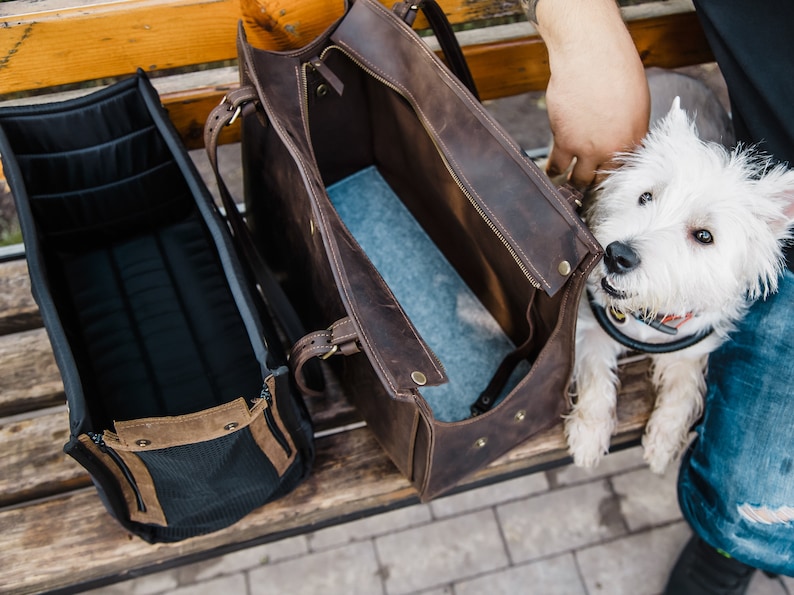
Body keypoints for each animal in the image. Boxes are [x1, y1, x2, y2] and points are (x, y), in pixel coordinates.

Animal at [564, 93, 792, 474]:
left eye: (704, 236)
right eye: (646, 197)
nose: (617, 255)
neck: (648, 318)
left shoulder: (694, 350)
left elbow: (683, 390)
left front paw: (663, 443)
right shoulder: (590, 329)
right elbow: (596, 377)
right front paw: (588, 436)